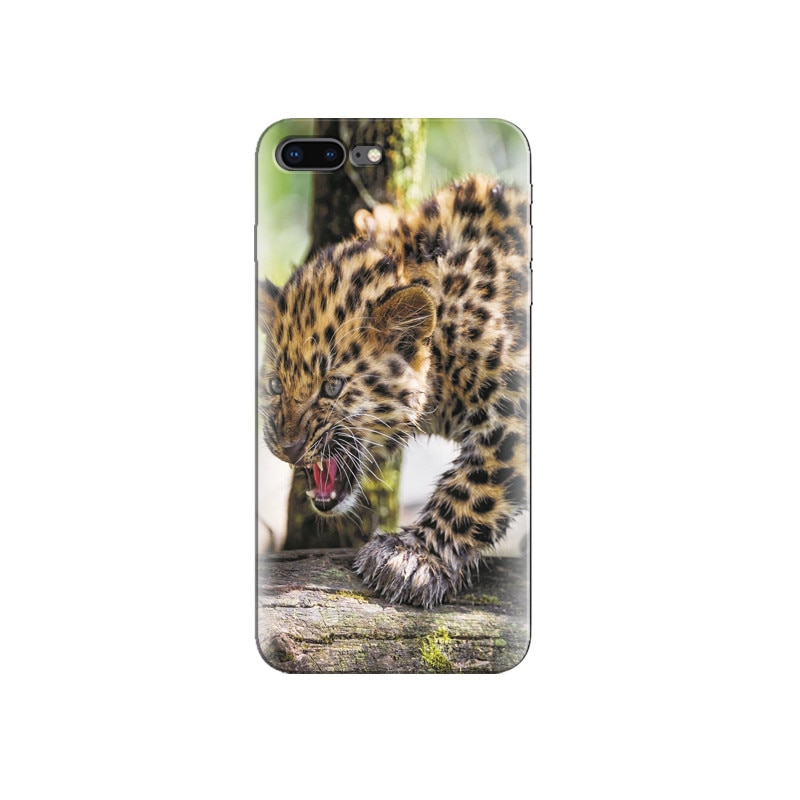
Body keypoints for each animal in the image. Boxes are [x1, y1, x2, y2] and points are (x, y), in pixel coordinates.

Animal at [258, 174, 530, 608]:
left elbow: (474, 488)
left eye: (332, 386)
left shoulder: (515, 415)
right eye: (273, 384)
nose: (288, 448)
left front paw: (413, 557)